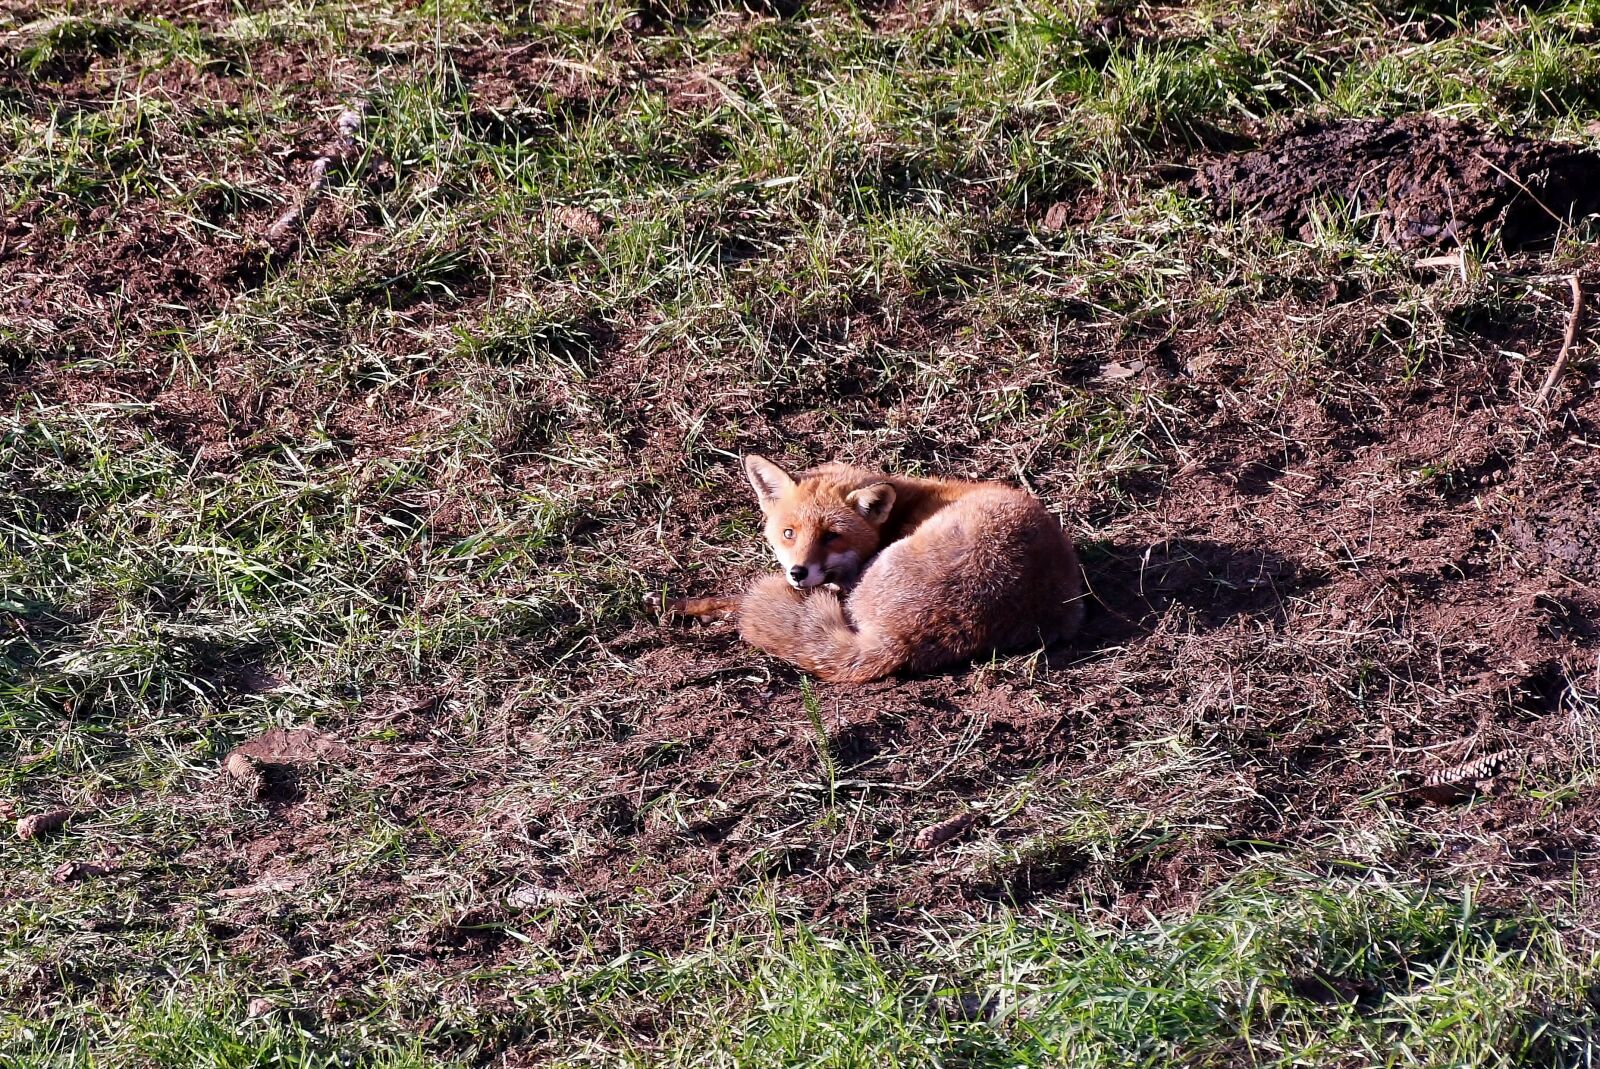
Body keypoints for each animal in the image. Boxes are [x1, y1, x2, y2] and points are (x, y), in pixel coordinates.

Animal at [656, 455, 1085, 683]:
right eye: (789, 533)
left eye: (832, 536)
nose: (797, 573)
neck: (902, 509)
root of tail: (899, 641)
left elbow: (735, 598)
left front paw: (684, 606)